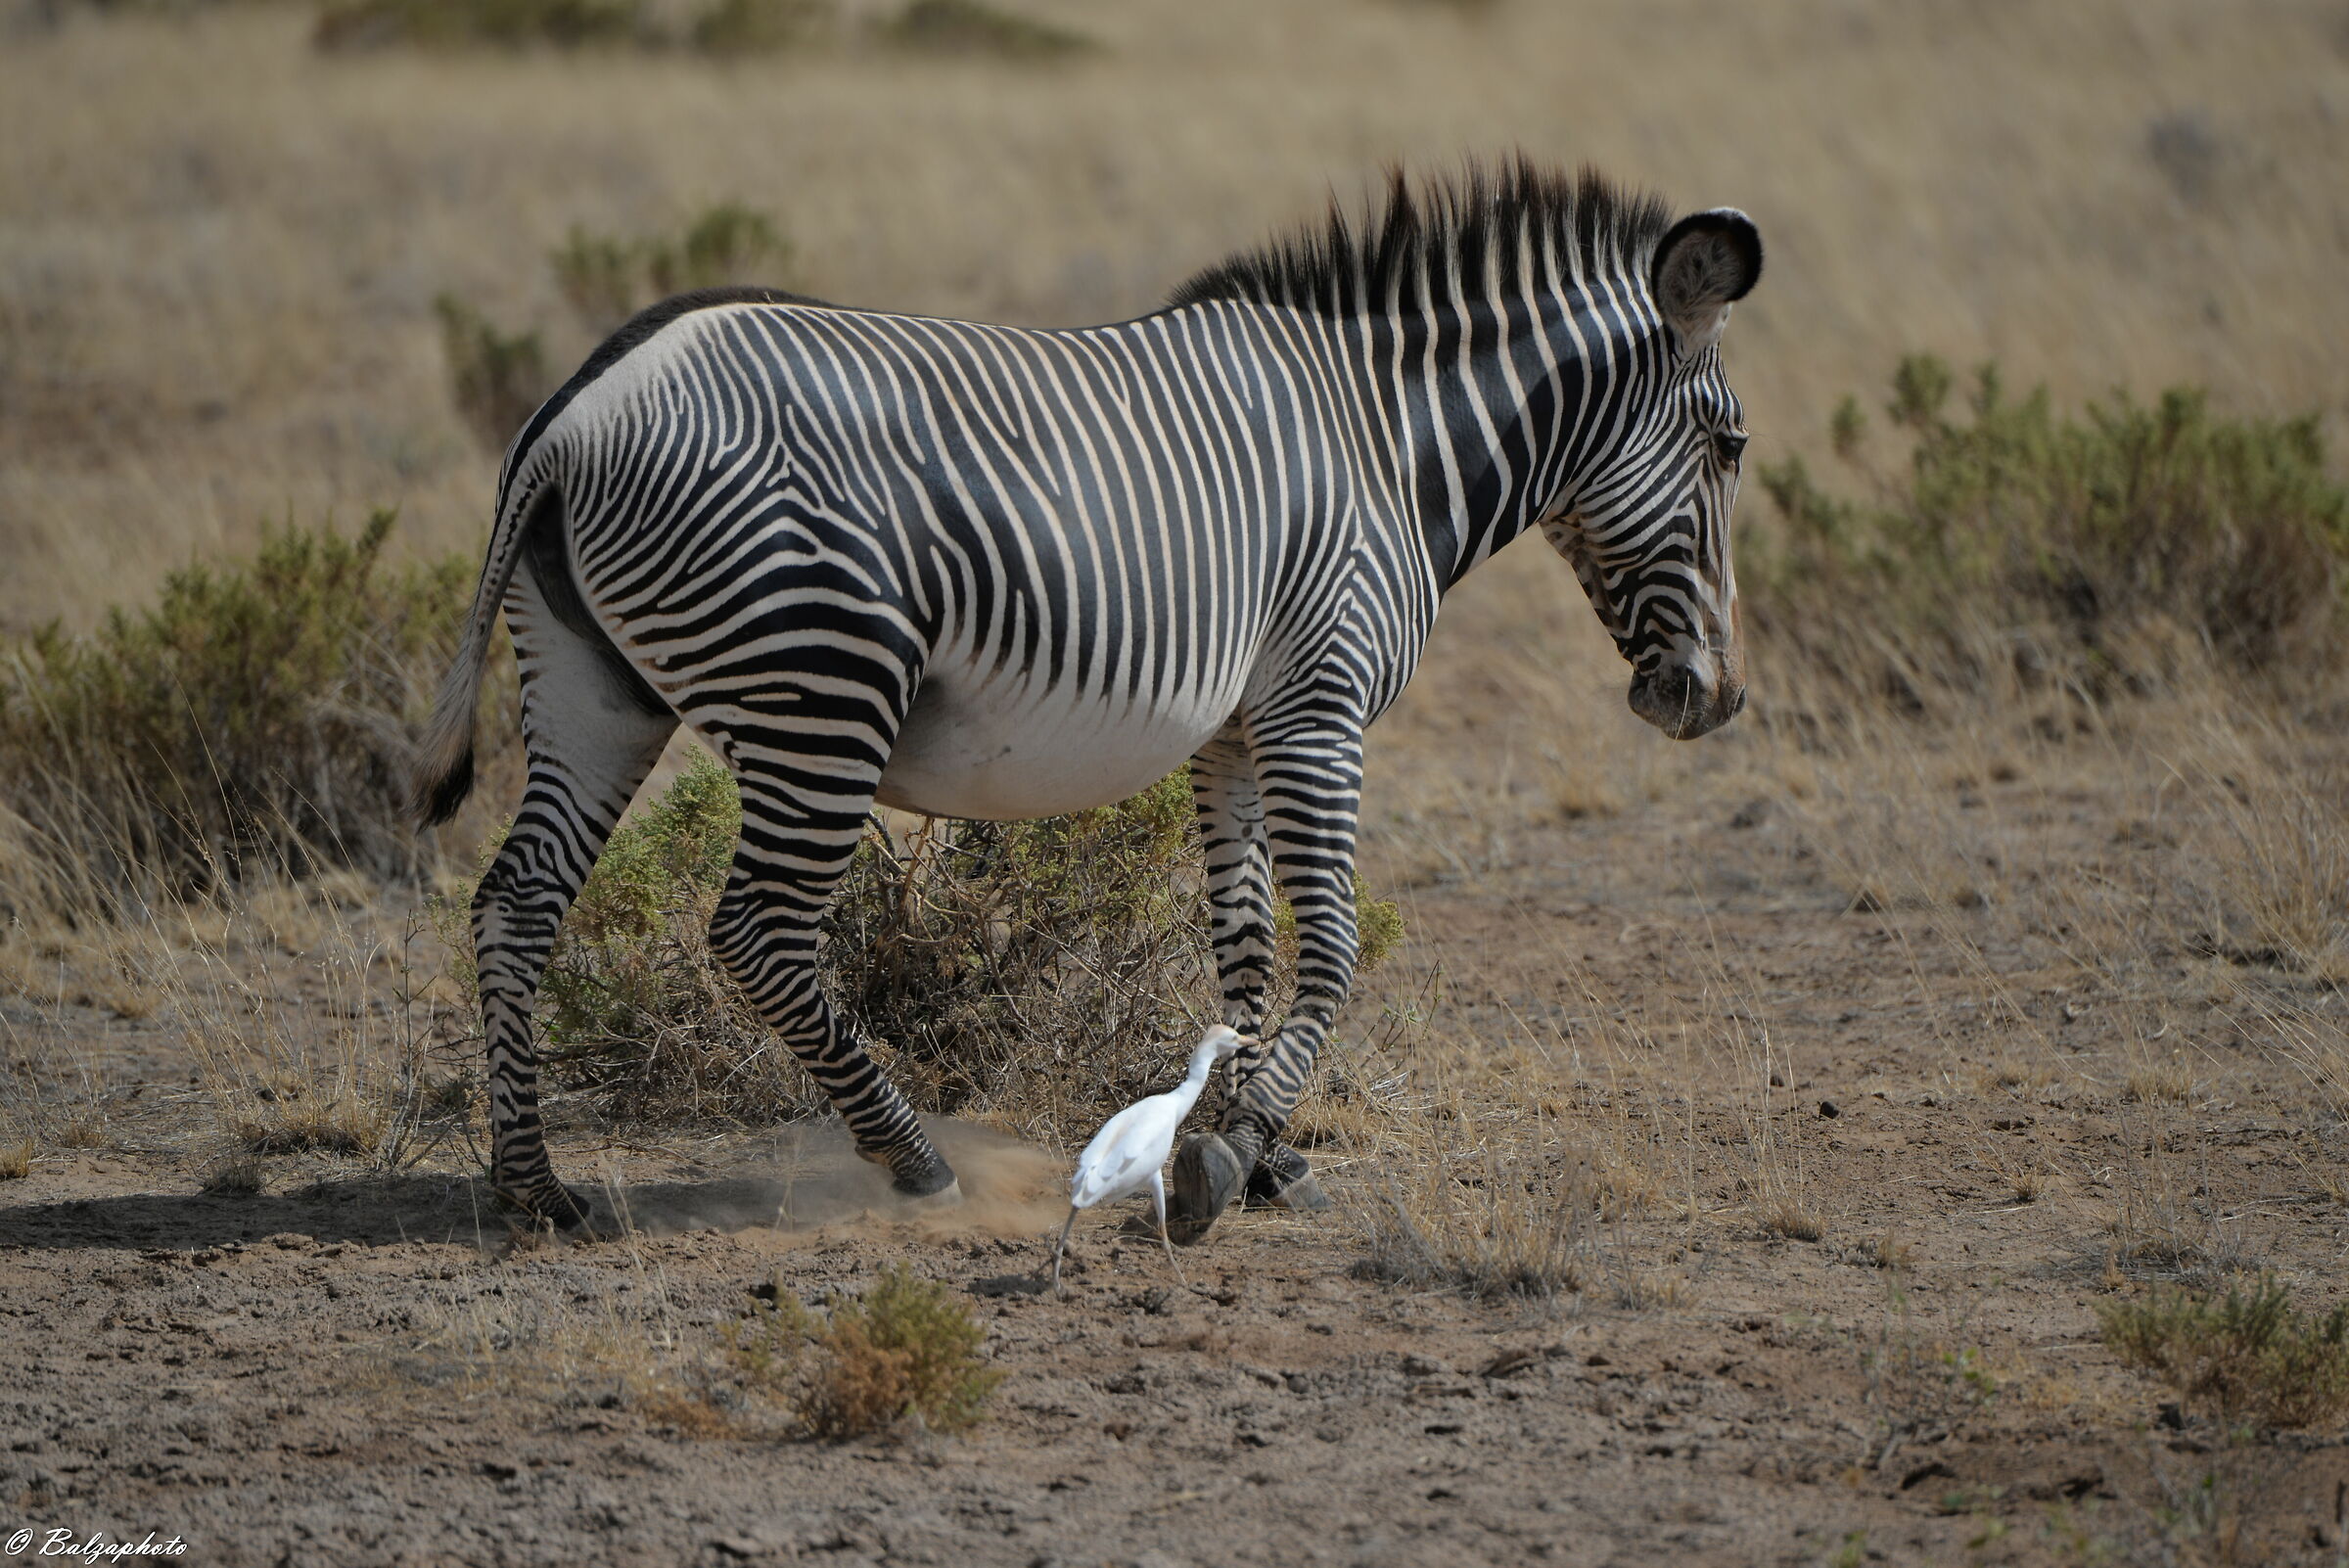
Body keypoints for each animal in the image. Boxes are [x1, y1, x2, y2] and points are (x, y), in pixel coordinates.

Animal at [412, 160, 1761, 1239]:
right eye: (1731, 448)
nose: (1715, 700)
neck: (1386, 446)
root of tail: (578, 410)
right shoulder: (1319, 703)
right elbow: (1329, 945)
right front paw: (1236, 1152)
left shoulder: (1233, 732)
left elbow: (1245, 945)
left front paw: (1248, 1143)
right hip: (822, 683)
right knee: (757, 931)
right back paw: (914, 1162)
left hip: (595, 689)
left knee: (516, 903)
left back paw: (535, 1187)